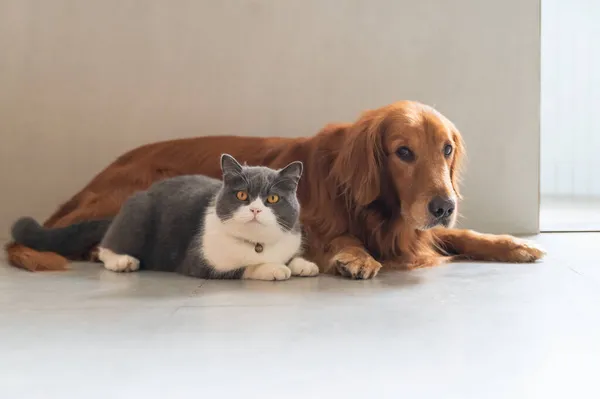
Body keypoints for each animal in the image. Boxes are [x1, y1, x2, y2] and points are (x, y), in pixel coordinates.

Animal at [11, 154, 318, 282]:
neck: (257, 245)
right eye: (242, 195)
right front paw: (273, 268)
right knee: (105, 246)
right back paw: (123, 261)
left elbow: (291, 256)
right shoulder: (200, 262)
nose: (255, 209)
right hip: (138, 217)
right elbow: (245, 267)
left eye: (272, 199)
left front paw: (303, 264)